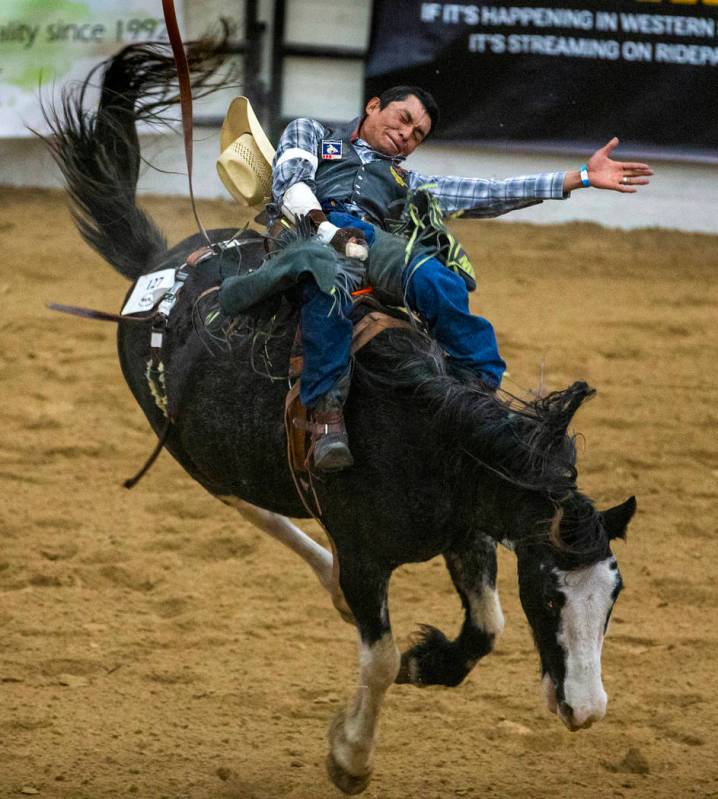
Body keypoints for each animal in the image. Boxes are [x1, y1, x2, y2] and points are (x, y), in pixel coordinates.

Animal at [40, 36, 636, 792]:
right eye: (554, 596)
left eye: (613, 595)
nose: (587, 710)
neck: (423, 433)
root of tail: (161, 266)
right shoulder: (362, 555)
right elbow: (378, 658)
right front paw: (350, 757)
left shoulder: (468, 527)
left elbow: (487, 628)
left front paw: (429, 661)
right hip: (195, 453)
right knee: (251, 506)